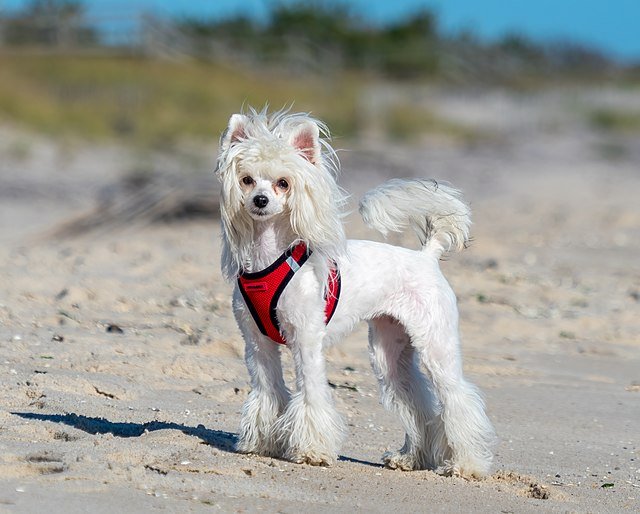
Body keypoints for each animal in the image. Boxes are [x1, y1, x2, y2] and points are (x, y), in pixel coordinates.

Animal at [215, 108, 496, 476]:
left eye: (283, 183)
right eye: (247, 180)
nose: (260, 200)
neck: (270, 259)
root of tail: (426, 257)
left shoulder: (306, 341)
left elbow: (311, 395)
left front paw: (312, 450)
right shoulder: (258, 344)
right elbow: (268, 393)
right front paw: (262, 444)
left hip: (437, 348)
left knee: (457, 400)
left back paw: (465, 464)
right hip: (389, 355)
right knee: (418, 405)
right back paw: (410, 458)